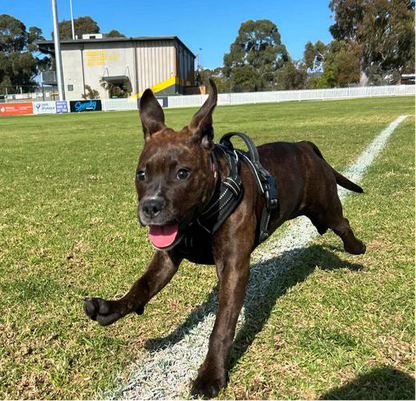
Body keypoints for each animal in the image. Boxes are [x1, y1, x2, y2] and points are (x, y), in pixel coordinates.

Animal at [83, 79, 364, 396]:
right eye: (141, 174)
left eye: (183, 173)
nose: (150, 207)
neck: (200, 215)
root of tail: (304, 146)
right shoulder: (167, 257)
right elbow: (142, 285)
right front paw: (113, 307)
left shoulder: (233, 268)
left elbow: (221, 328)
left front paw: (210, 374)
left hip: (328, 207)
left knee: (343, 224)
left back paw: (356, 249)